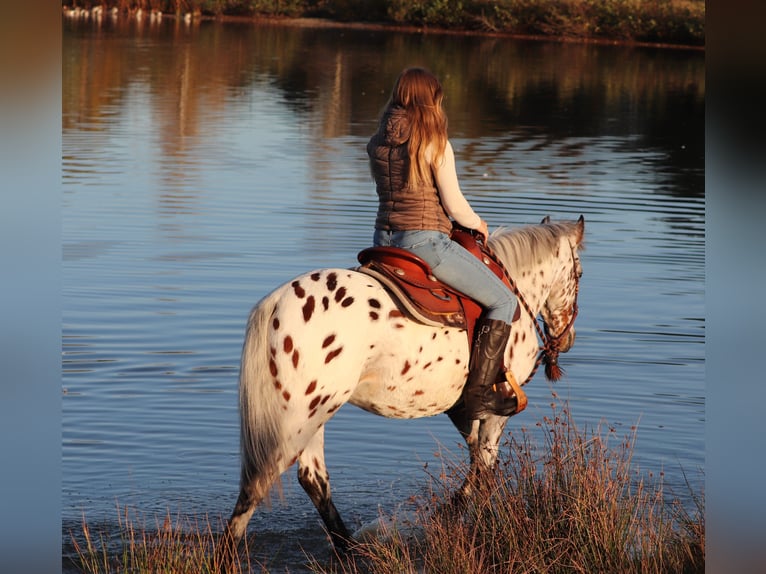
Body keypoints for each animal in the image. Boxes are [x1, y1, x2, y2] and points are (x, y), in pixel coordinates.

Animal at [219, 215, 584, 568]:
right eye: (578, 273)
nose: (567, 338)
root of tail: (276, 303)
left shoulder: (467, 412)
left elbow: (478, 464)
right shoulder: (496, 410)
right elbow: (484, 468)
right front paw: (451, 517)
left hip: (314, 414)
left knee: (313, 479)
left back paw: (350, 548)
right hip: (298, 419)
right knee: (256, 486)